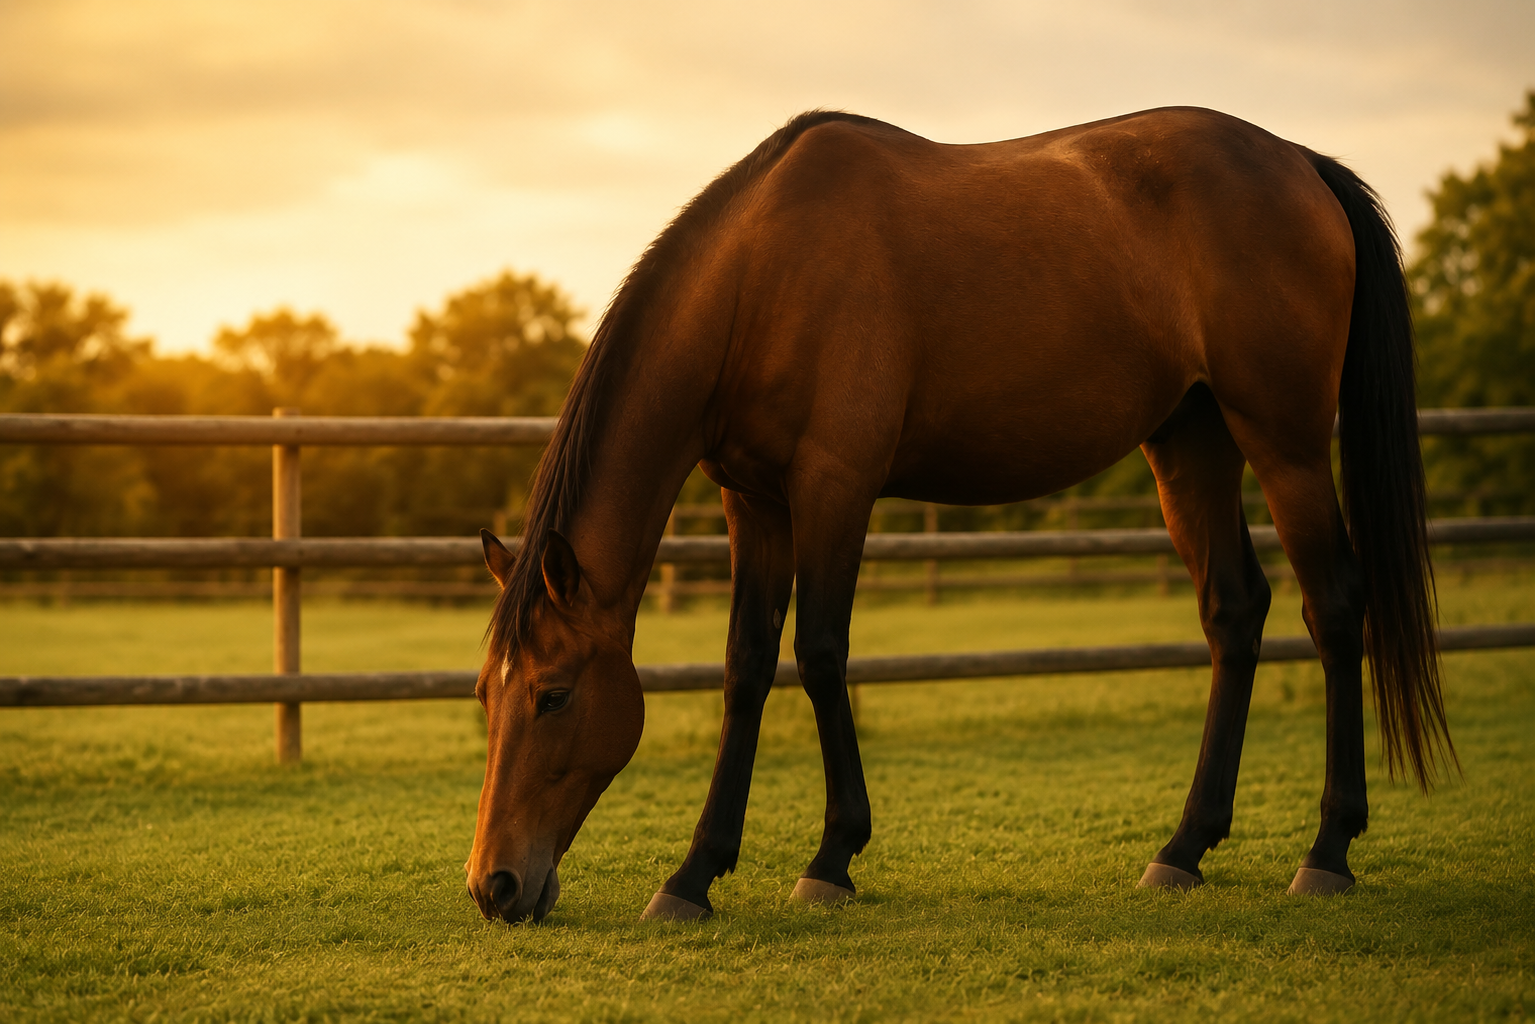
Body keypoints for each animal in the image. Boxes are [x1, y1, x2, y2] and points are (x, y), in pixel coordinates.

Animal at [463, 107, 1454, 924]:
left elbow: (818, 654)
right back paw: (1183, 848)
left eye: (553, 694)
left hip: (1284, 444)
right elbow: (744, 669)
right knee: (1234, 614)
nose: (494, 886)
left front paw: (831, 858)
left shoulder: (833, 486)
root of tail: (1297, 161)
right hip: (1191, 441)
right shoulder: (754, 500)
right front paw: (693, 874)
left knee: (1333, 608)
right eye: (484, 694)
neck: (761, 276)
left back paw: (1325, 851)